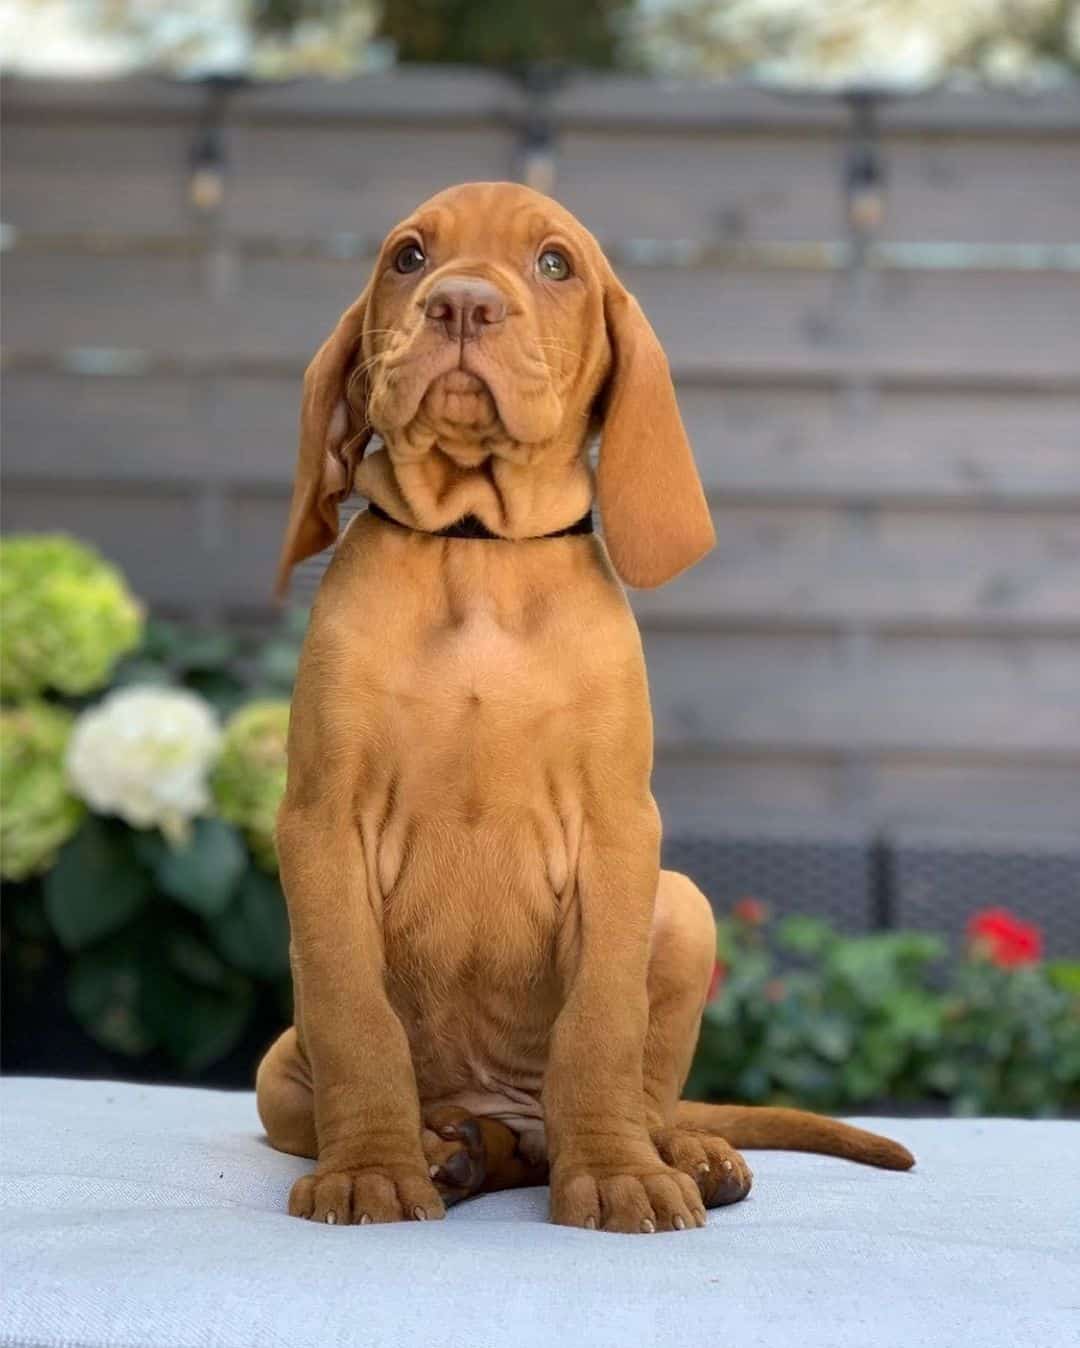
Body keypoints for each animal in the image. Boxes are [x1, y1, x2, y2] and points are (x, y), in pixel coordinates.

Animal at [258, 181, 911, 1234]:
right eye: (408, 257)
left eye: (555, 264)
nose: (461, 304)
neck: (477, 549)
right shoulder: (320, 821)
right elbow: (357, 1018)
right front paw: (371, 1169)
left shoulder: (616, 828)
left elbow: (602, 1024)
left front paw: (615, 1173)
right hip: (281, 1073)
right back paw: (451, 1149)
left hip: (683, 907)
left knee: (640, 1095)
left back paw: (678, 1151)